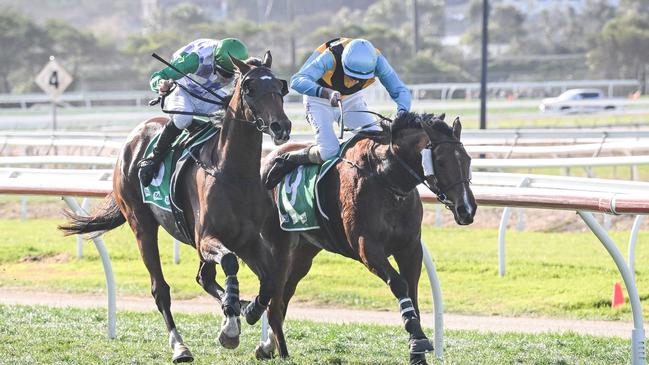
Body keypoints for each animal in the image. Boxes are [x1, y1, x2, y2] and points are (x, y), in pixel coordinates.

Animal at [58, 51, 292, 362]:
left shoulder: (247, 239)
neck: (233, 172)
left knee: (204, 277)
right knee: (161, 289)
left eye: (280, 86)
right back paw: (181, 346)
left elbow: (269, 281)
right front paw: (231, 324)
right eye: (250, 88)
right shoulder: (206, 238)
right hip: (142, 225)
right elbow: (230, 263)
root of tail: (134, 136)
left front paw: (248, 309)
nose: (281, 126)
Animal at [258, 112, 476, 362]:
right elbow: (399, 285)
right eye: (440, 162)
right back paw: (279, 349)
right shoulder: (367, 248)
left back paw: (268, 346)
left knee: (284, 295)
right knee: (274, 303)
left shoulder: (410, 248)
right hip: (280, 248)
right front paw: (418, 339)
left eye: (468, 160)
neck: (387, 179)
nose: (467, 209)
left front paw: (416, 351)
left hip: (303, 254)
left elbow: (412, 289)